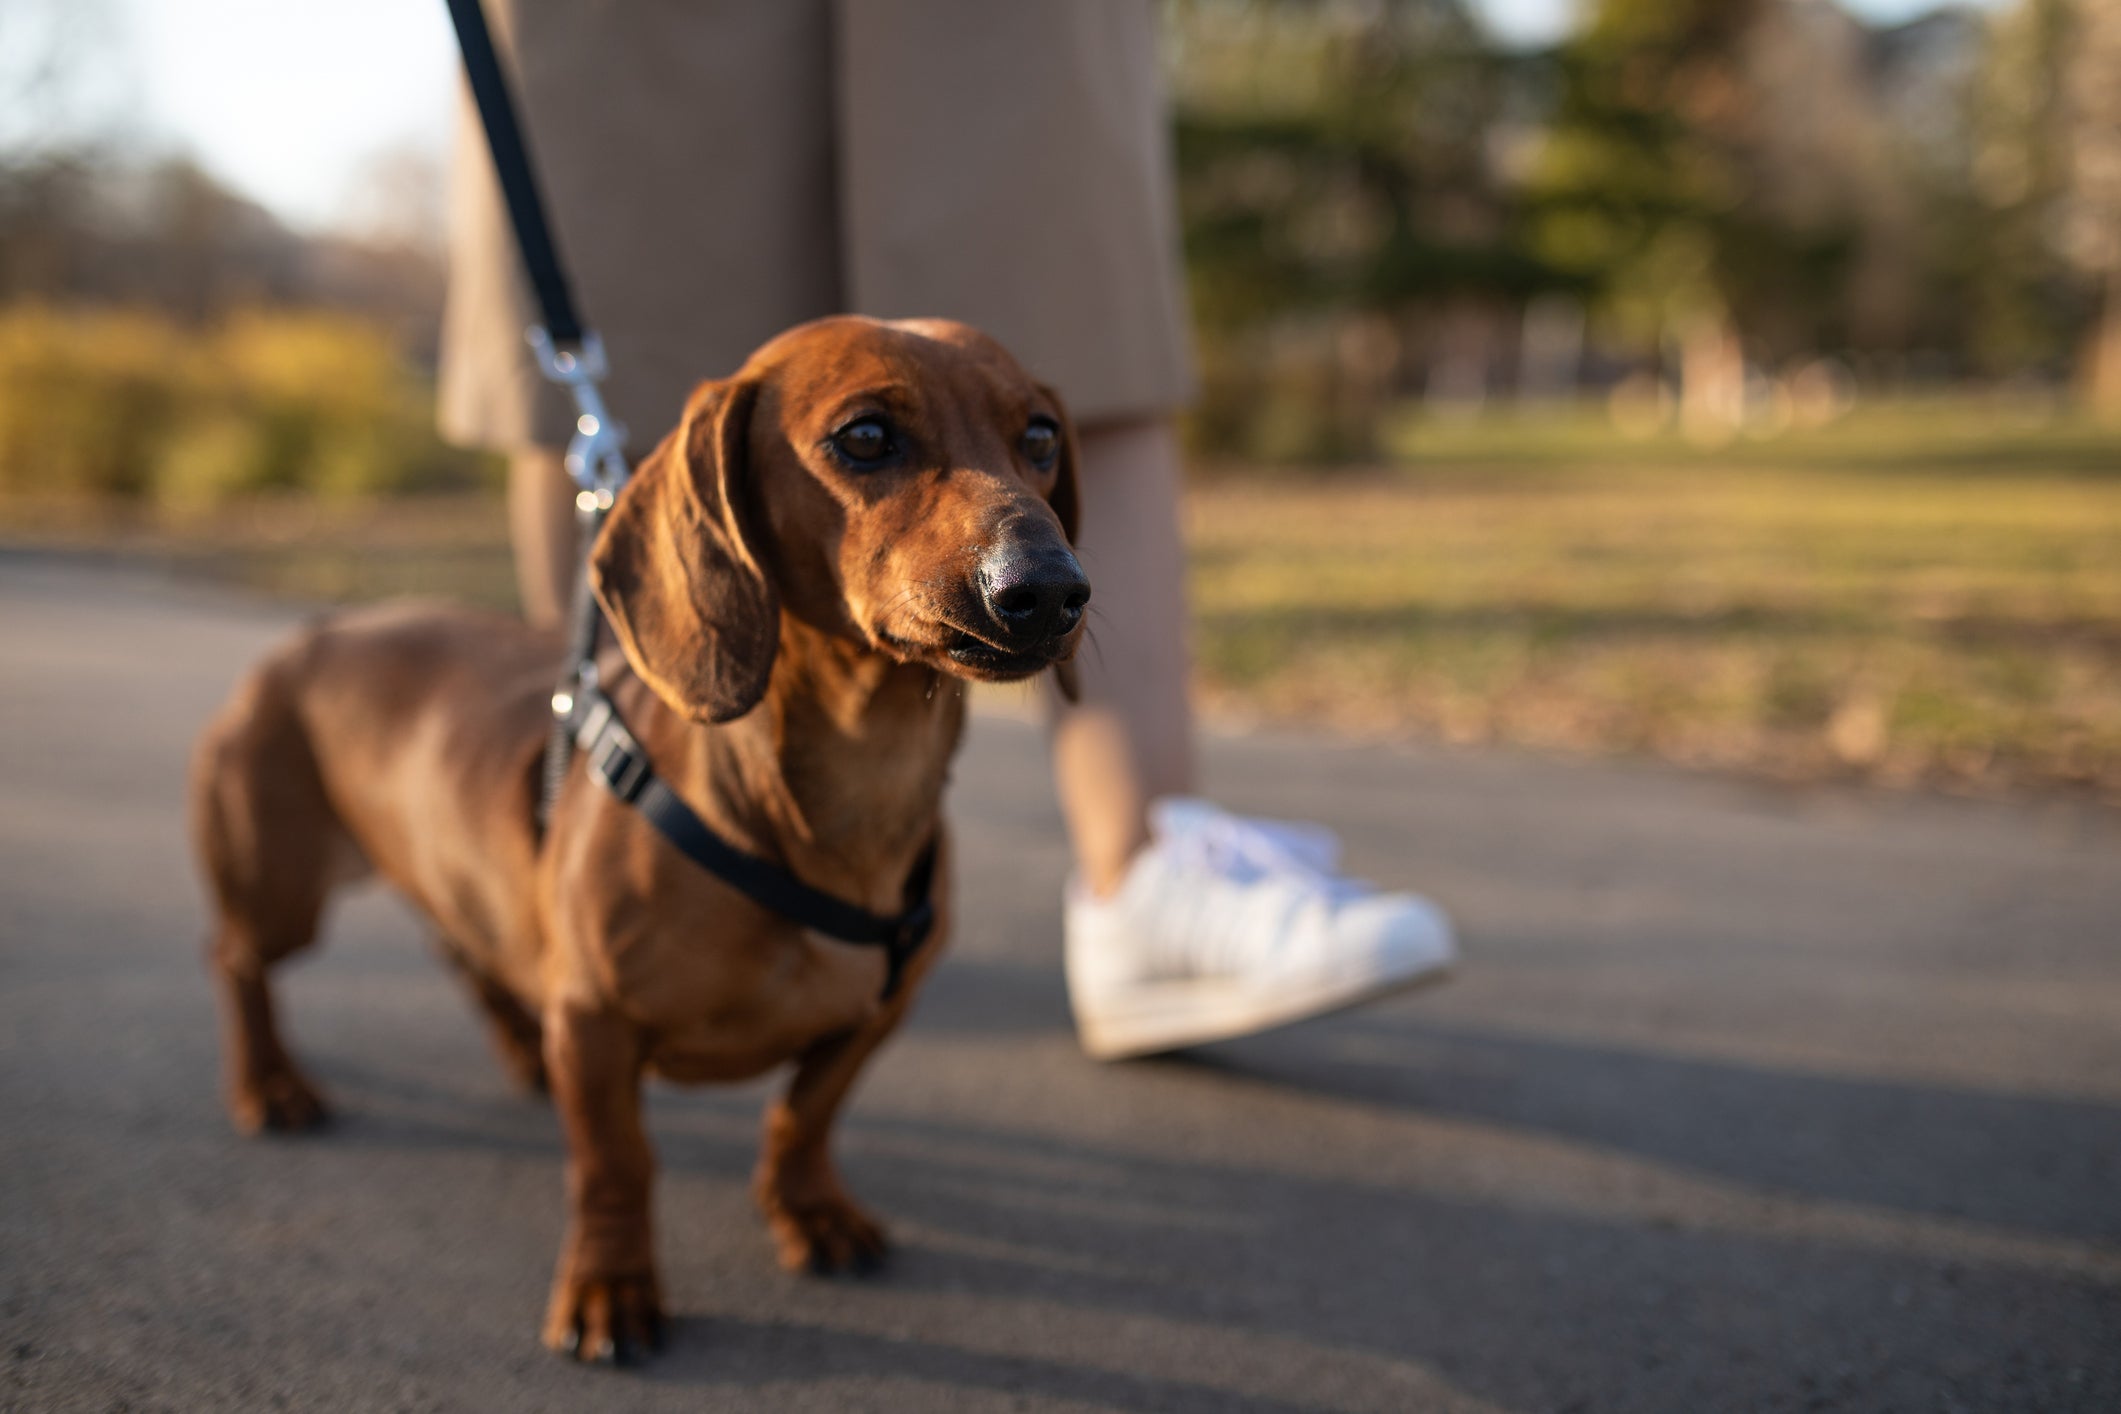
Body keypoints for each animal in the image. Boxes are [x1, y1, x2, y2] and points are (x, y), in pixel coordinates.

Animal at [188, 317, 1085, 1356]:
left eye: (1039, 437)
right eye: (864, 437)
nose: (1049, 590)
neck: (838, 805)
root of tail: (315, 631)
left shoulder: (872, 1018)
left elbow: (802, 1118)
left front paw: (810, 1211)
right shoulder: (596, 1022)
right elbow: (616, 1163)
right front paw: (609, 1285)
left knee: (465, 952)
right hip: (279, 890)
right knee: (239, 961)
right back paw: (271, 1084)